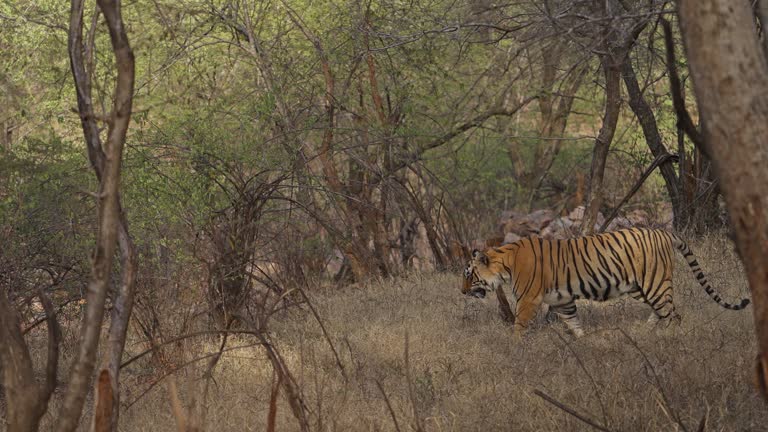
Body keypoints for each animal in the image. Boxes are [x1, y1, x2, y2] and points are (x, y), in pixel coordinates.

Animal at [462, 226, 752, 338]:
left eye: (468, 274)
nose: (462, 291)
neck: (505, 263)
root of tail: (663, 231)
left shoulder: (527, 299)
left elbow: (519, 326)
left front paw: (515, 344)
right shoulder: (563, 299)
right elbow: (573, 321)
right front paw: (584, 340)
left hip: (654, 282)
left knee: (672, 313)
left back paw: (667, 338)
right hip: (640, 287)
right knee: (662, 311)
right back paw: (647, 333)